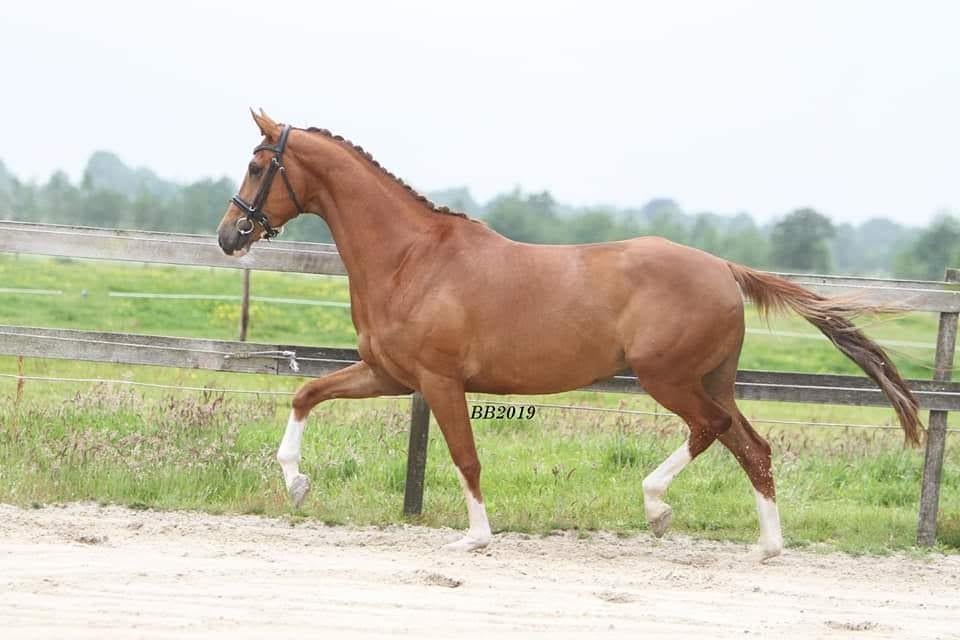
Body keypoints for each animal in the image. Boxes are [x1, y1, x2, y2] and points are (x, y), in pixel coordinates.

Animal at [216, 110, 921, 560]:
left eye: (256, 165)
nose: (229, 235)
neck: (411, 258)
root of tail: (724, 267)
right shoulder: (390, 375)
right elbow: (306, 394)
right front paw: (296, 484)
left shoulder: (439, 382)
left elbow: (465, 456)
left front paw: (475, 537)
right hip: (712, 378)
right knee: (752, 446)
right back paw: (767, 547)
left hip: (668, 378)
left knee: (713, 430)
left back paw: (657, 507)